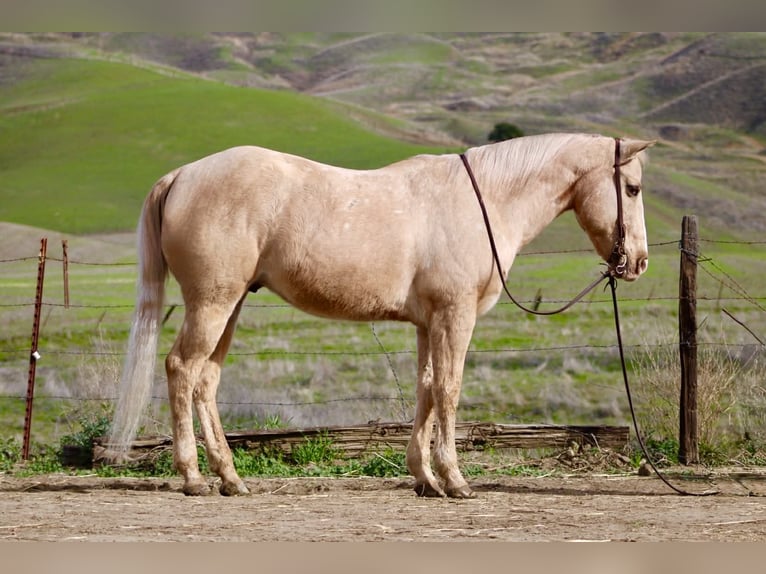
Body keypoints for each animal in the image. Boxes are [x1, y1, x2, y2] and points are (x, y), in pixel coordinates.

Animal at [108, 132, 654, 498]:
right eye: (632, 188)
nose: (638, 263)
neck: (485, 201)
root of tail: (182, 176)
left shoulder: (429, 323)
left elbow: (427, 390)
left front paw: (425, 478)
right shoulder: (455, 316)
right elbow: (449, 390)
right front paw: (455, 479)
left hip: (232, 303)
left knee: (206, 379)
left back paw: (230, 478)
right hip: (213, 302)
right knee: (181, 369)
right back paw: (193, 477)